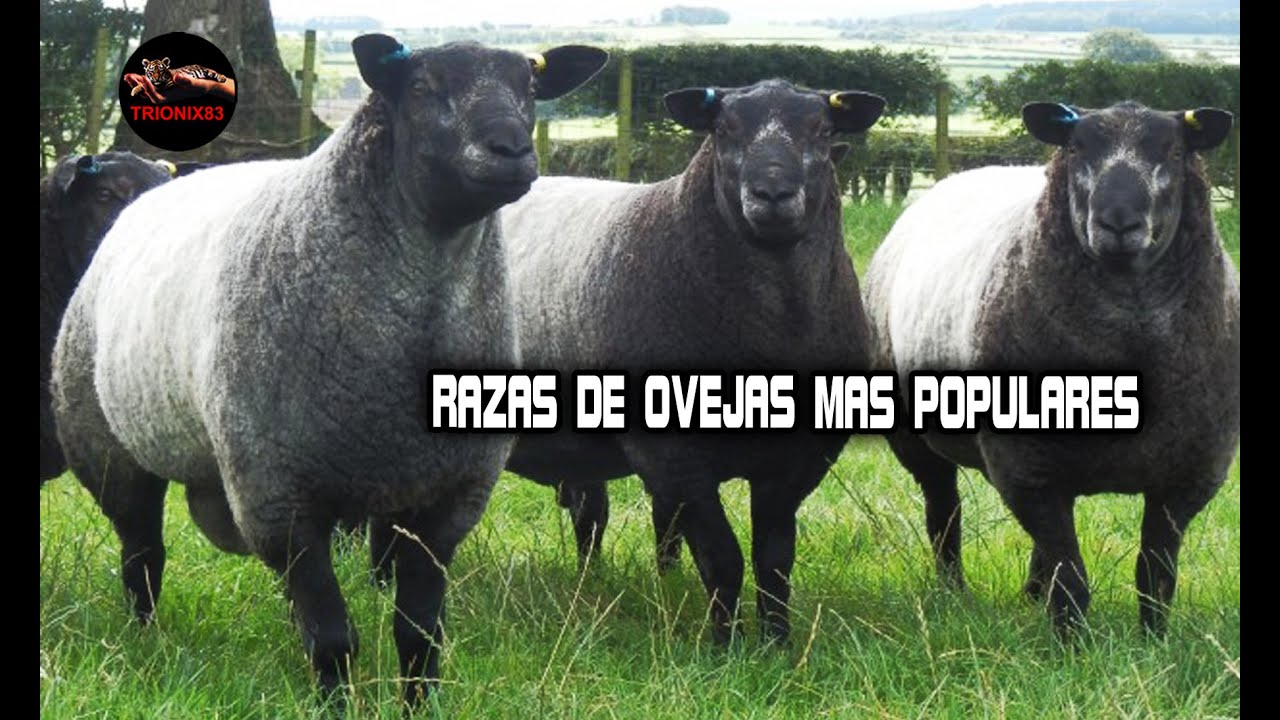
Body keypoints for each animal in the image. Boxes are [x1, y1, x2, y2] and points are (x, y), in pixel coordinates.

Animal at [492, 80, 884, 644]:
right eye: (724, 129)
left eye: (822, 129)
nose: (772, 194)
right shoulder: (674, 456)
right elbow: (723, 559)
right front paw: (726, 647)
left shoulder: (799, 459)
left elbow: (774, 562)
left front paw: (778, 644)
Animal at [862, 100, 1238, 637]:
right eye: (1077, 148)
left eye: (1172, 150)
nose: (1118, 221)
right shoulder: (1026, 466)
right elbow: (1071, 572)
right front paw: (1072, 644)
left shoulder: (1190, 472)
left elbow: (1156, 571)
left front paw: (1154, 639)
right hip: (914, 435)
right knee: (944, 509)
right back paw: (953, 591)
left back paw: (1030, 593)